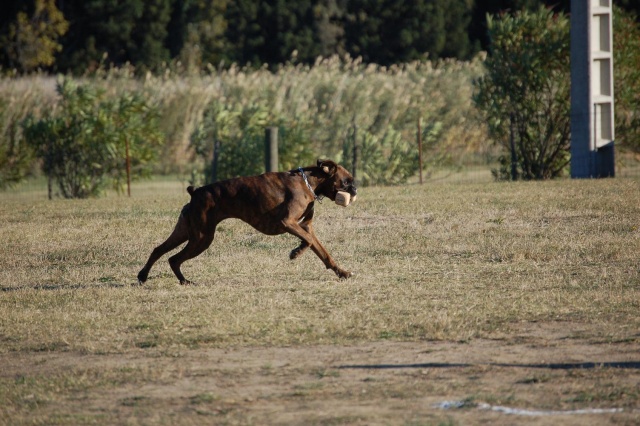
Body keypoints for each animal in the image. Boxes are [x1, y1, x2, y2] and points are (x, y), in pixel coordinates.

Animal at [138, 158, 358, 284]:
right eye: (346, 181)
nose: (356, 190)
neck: (307, 183)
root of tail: (196, 192)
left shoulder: (305, 227)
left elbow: (323, 252)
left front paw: (342, 273)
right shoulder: (288, 223)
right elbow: (309, 242)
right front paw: (296, 252)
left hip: (186, 232)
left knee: (159, 250)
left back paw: (144, 276)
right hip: (201, 238)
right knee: (174, 258)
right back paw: (182, 281)